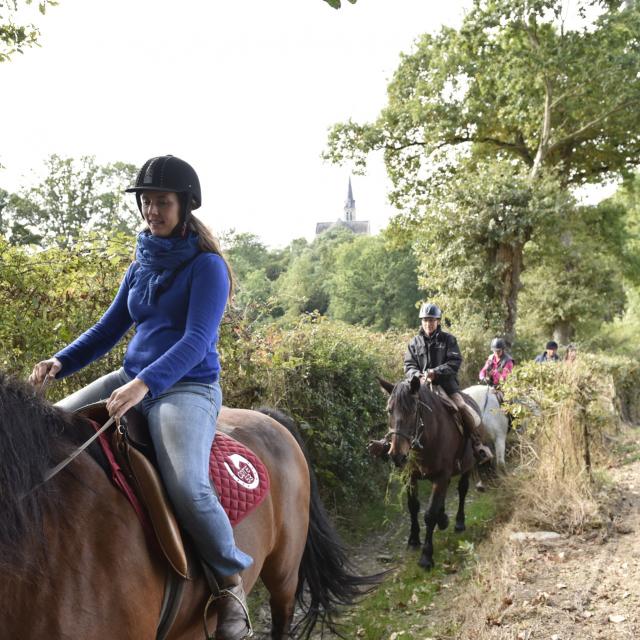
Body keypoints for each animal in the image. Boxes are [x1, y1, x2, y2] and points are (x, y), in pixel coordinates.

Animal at [380, 376, 476, 568]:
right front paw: (413, 539)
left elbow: (430, 514)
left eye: (412, 411)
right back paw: (443, 518)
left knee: (462, 489)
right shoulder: (410, 476)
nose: (396, 455)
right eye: (389, 411)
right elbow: (413, 506)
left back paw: (459, 523)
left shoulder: (441, 476)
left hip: (467, 466)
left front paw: (426, 557)